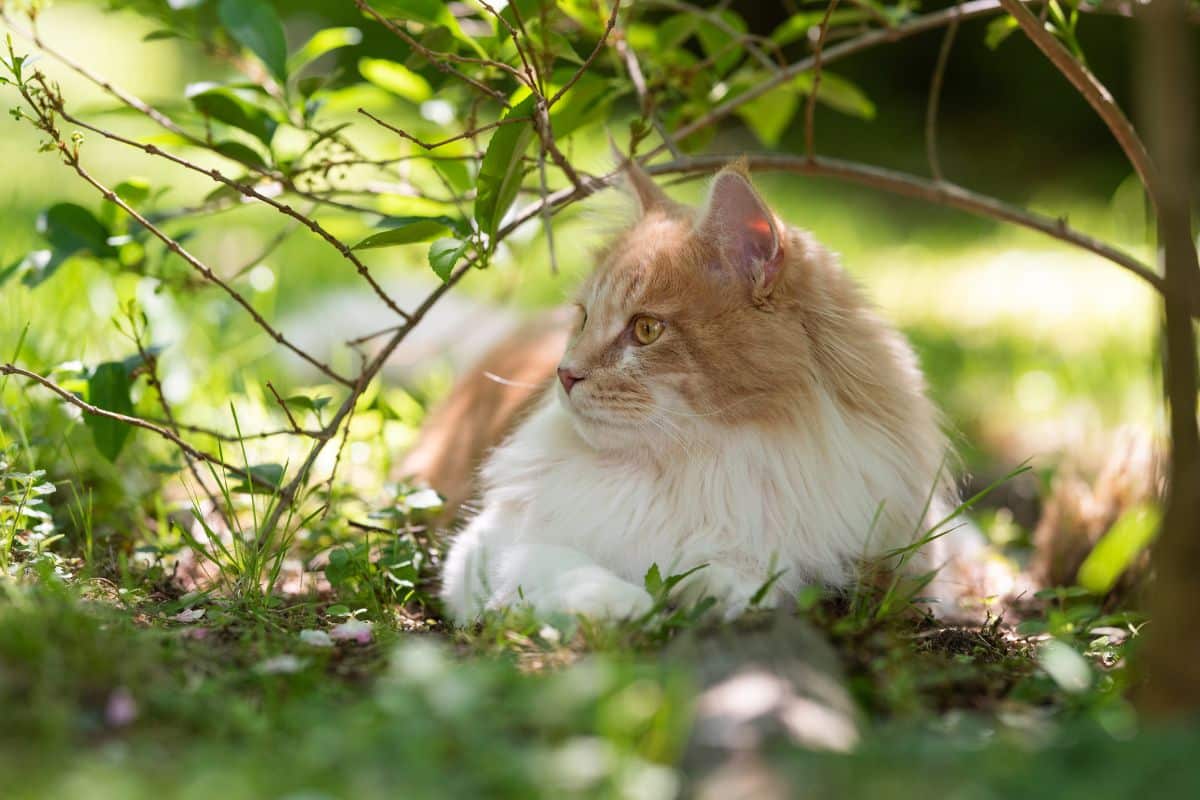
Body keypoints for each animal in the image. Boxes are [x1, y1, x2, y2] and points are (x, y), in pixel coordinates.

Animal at [427, 160, 979, 623]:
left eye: (646, 329)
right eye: (583, 319)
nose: (565, 374)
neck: (702, 461)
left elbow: (749, 574)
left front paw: (713, 589)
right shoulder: (482, 545)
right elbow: (554, 564)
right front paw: (626, 603)